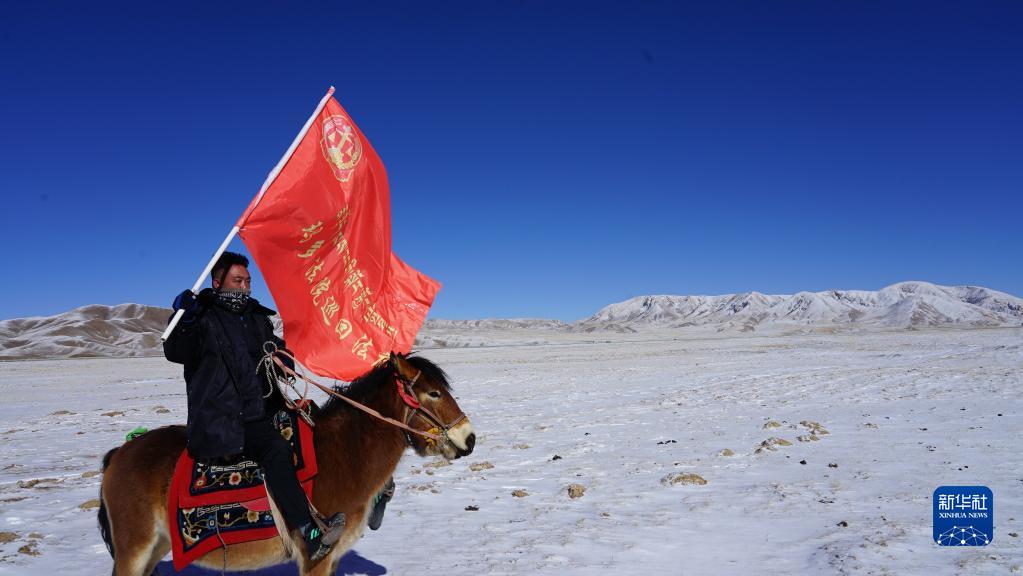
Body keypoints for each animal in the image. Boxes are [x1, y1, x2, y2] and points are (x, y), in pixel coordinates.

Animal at [97, 353, 476, 572]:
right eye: (433, 393)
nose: (469, 438)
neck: (343, 453)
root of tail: (119, 455)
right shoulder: (315, 559)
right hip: (134, 548)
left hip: (156, 547)